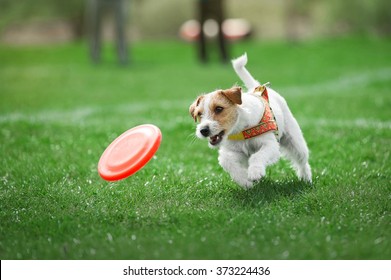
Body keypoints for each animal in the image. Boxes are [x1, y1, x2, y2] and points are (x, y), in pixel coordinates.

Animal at [189, 53, 312, 188]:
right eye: (199, 114)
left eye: (219, 108)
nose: (203, 130)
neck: (241, 129)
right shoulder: (232, 151)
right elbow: (227, 162)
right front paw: (245, 181)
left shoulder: (270, 145)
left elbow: (257, 156)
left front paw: (255, 172)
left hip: (295, 141)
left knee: (302, 160)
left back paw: (306, 179)